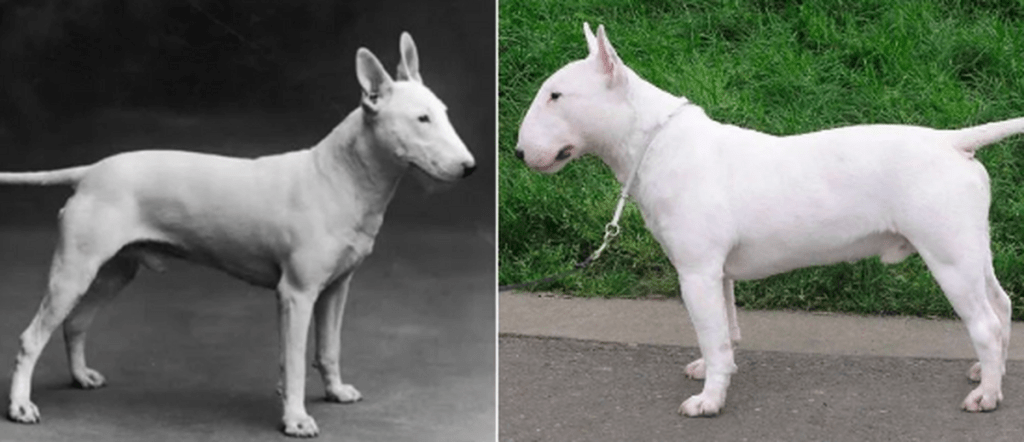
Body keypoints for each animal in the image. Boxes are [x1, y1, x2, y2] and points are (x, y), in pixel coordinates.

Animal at [2, 32, 475, 435]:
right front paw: (296, 418)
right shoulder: (296, 294)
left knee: (75, 323)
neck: (340, 176)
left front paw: (334, 392)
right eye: (421, 119)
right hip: (73, 272)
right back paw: (21, 406)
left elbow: (328, 348)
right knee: (32, 338)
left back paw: (81, 376)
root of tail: (92, 171)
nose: (470, 167)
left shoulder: (335, 289)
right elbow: (294, 359)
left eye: (444, 113)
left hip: (114, 272)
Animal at [520, 23, 1024, 417]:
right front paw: (713, 372)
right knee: (1000, 306)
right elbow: (725, 330)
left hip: (947, 256)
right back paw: (989, 373)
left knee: (984, 323)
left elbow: (711, 334)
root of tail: (951, 141)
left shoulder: (696, 272)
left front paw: (709, 401)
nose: (521, 153)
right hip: (971, 249)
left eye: (556, 95)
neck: (654, 143)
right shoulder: (717, 272)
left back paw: (986, 396)